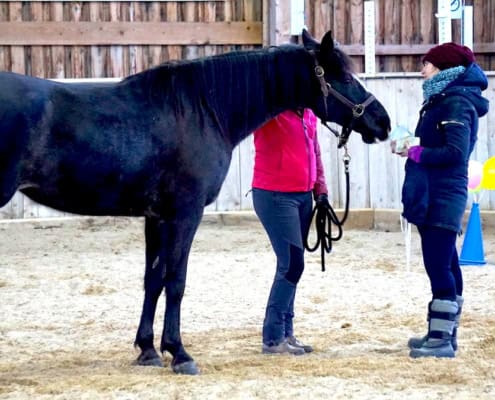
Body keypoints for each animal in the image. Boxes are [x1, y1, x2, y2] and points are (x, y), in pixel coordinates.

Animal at [0, 31, 392, 376]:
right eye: (343, 75)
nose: (383, 122)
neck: (203, 110)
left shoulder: (156, 217)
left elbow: (153, 279)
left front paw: (147, 350)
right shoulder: (185, 214)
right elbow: (176, 281)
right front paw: (179, 353)